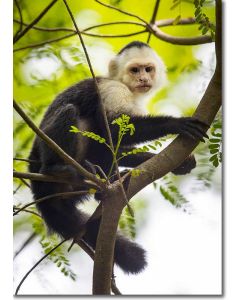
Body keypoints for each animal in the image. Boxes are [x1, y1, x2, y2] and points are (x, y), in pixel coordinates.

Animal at [28, 41, 208, 276]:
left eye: (148, 69)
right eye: (135, 70)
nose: (143, 79)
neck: (125, 85)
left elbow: (116, 145)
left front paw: (182, 163)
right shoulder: (111, 90)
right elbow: (113, 130)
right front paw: (175, 124)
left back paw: (107, 184)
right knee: (73, 113)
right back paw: (57, 169)